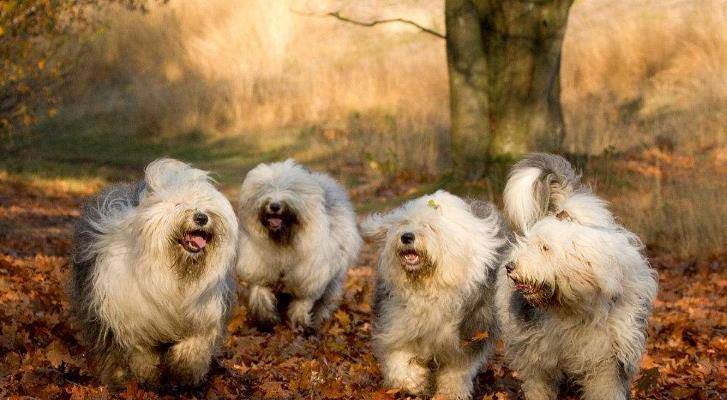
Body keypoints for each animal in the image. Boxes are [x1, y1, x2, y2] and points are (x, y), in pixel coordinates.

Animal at [68, 159, 239, 388]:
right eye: (178, 204)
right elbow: (140, 350)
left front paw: (186, 369)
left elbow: (196, 342)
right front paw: (147, 375)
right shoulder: (129, 315)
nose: (201, 217)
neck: (176, 272)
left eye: (207, 204)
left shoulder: (204, 313)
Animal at [237, 159, 362, 332]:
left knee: (326, 300)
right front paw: (267, 319)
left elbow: (303, 303)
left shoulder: (309, 277)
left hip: (335, 277)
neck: (282, 242)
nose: (274, 206)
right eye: (265, 187)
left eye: (291, 189)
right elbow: (259, 292)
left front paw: (300, 324)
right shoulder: (260, 270)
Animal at [362, 191, 510, 400]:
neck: (427, 287)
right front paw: (413, 382)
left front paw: (450, 393)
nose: (407, 237)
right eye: (404, 223)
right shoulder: (395, 322)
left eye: (430, 227)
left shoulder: (469, 333)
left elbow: (458, 369)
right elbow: (398, 355)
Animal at [494, 154, 660, 400]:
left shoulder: (607, 358)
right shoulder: (537, 354)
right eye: (529, 243)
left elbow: (605, 389)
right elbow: (538, 384)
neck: (574, 308)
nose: (510, 267)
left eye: (545, 247)